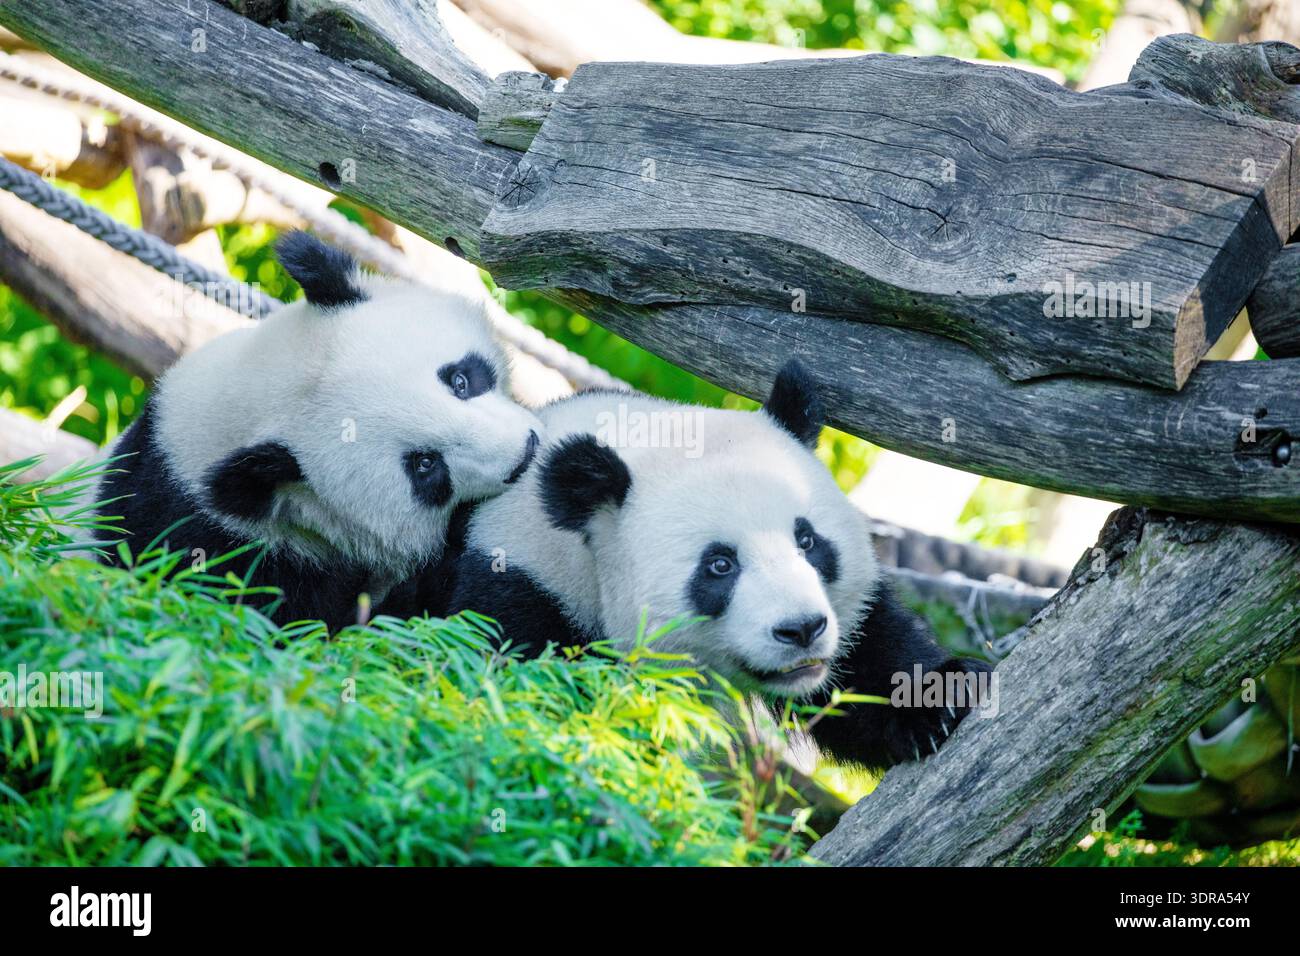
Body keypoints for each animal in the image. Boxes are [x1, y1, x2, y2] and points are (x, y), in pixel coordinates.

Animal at [446, 360, 993, 770]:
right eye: (720, 565)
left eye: (808, 541)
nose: (802, 630)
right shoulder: (522, 583)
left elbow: (870, 658)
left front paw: (939, 701)